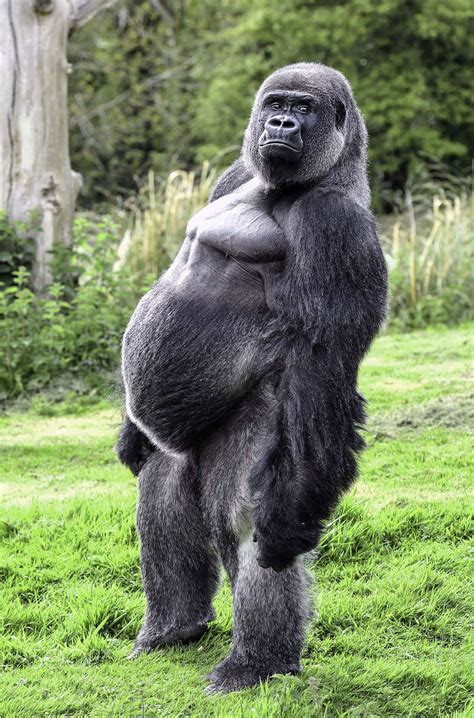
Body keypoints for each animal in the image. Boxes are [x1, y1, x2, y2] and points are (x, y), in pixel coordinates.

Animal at [117, 63, 388, 693]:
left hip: (270, 425)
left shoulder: (335, 227)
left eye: (303, 109)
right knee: (161, 492)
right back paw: (173, 627)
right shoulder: (236, 174)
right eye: (276, 105)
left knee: (248, 519)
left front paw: (286, 527)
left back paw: (255, 664)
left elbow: (322, 364)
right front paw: (127, 434)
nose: (281, 125)